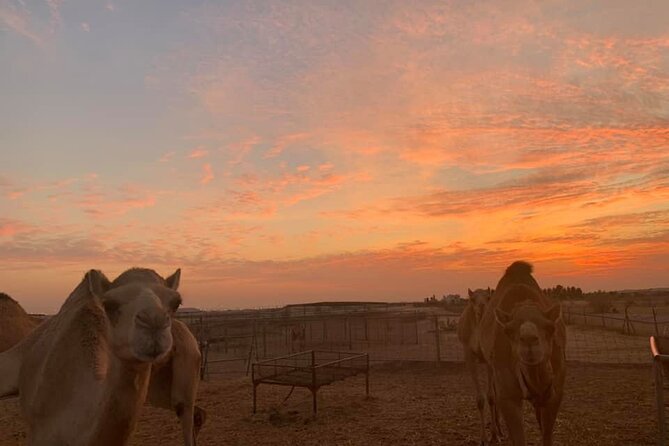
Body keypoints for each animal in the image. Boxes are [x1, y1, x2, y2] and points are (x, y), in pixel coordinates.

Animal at [457, 287, 501, 445]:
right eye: (472, 299)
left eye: (488, 297)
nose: (482, 306)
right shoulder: (469, 357)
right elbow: (480, 399)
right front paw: (483, 439)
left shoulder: (490, 358)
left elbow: (491, 397)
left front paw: (494, 436)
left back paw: (499, 429)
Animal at [479, 261, 566, 446]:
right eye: (508, 330)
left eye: (551, 327)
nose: (529, 339)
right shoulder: (508, 396)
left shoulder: (555, 393)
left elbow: (547, 435)